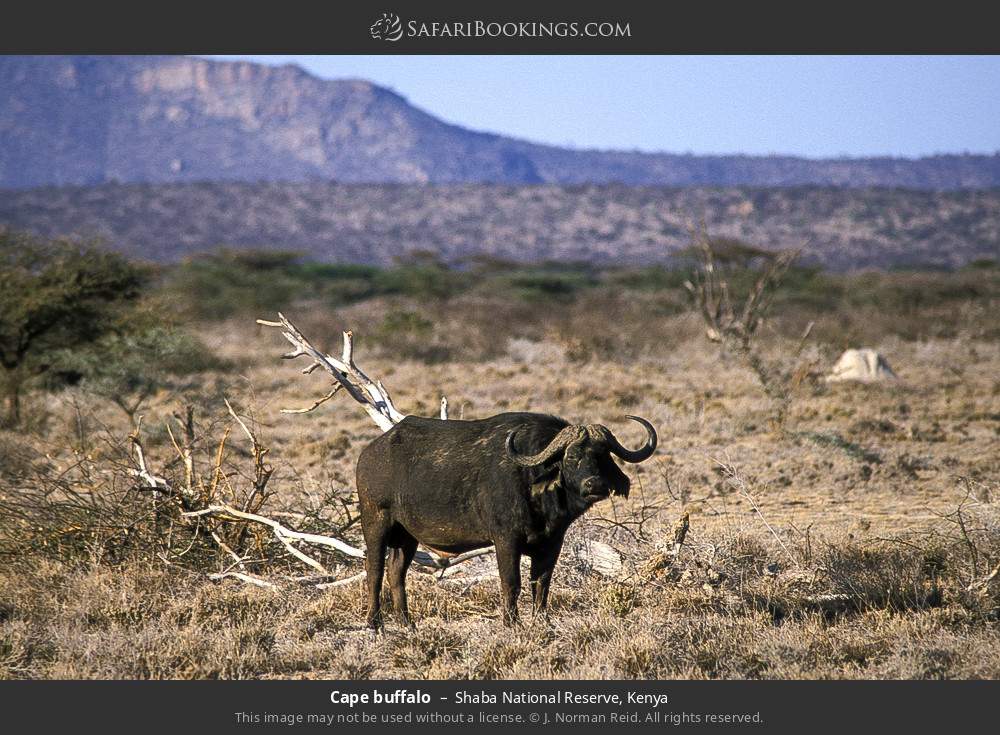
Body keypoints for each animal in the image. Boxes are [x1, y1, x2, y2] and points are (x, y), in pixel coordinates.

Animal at [355, 411, 657, 629]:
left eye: (602, 455)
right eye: (571, 456)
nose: (595, 484)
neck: (534, 484)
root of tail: (369, 453)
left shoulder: (552, 544)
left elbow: (542, 582)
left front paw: (542, 621)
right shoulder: (506, 541)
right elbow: (511, 582)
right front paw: (511, 622)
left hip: (407, 537)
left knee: (396, 572)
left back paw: (407, 623)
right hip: (375, 522)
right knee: (374, 569)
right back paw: (375, 623)